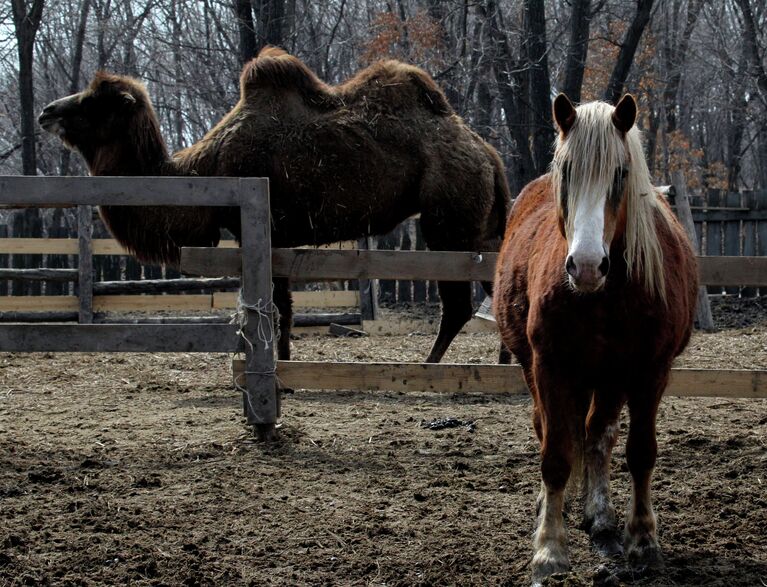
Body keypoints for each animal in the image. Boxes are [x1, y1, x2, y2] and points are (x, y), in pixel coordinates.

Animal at [39, 48, 512, 366]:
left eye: (94, 101)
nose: (47, 111)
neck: (210, 167)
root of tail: (488, 153)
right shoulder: (276, 235)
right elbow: (281, 303)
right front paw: (283, 359)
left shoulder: (266, 226)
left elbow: (277, 304)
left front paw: (281, 364)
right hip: (481, 224)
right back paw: (505, 365)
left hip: (448, 221)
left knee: (458, 304)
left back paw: (429, 366)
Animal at [496, 94, 700, 584]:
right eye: (566, 171)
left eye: (621, 173)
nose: (586, 266)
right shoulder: (550, 367)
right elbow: (554, 455)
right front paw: (549, 549)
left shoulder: (650, 372)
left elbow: (639, 452)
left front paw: (642, 540)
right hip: (539, 370)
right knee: (554, 429)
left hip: (608, 380)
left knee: (596, 436)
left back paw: (600, 515)